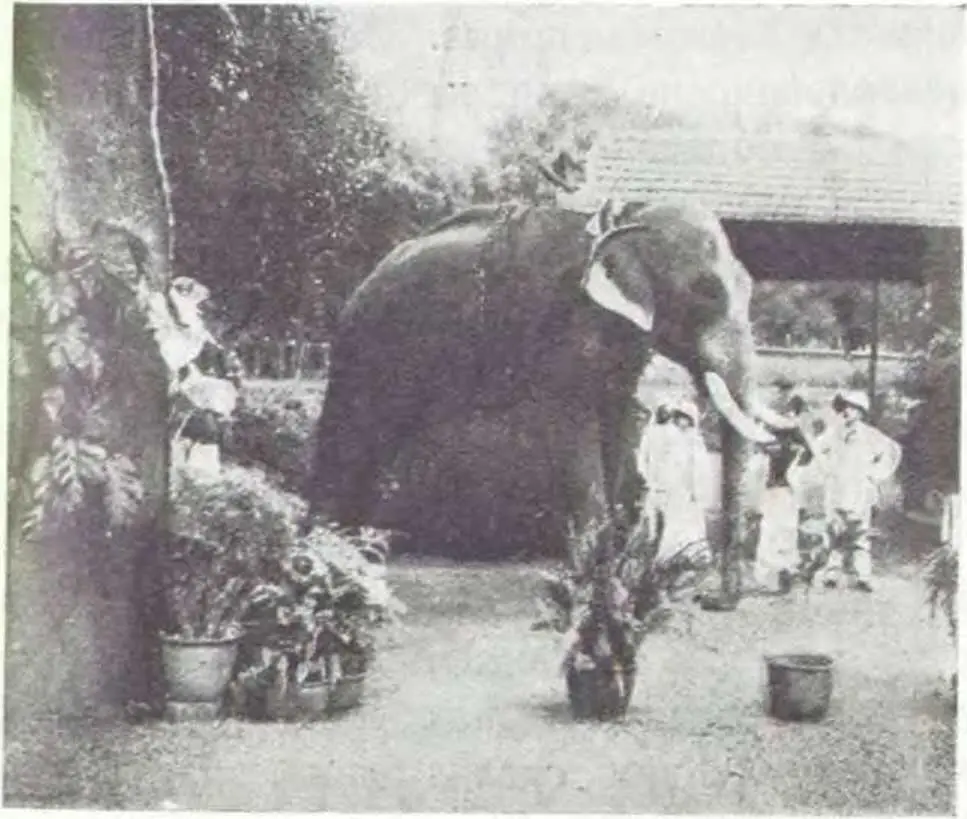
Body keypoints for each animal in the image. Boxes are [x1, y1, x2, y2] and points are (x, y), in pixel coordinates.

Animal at [308, 197, 796, 596]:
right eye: (705, 291)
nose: (717, 599)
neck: (629, 216)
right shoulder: (568, 324)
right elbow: (573, 425)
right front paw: (596, 582)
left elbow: (618, 421)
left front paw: (616, 575)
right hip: (369, 342)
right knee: (350, 434)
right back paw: (329, 557)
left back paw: (357, 557)